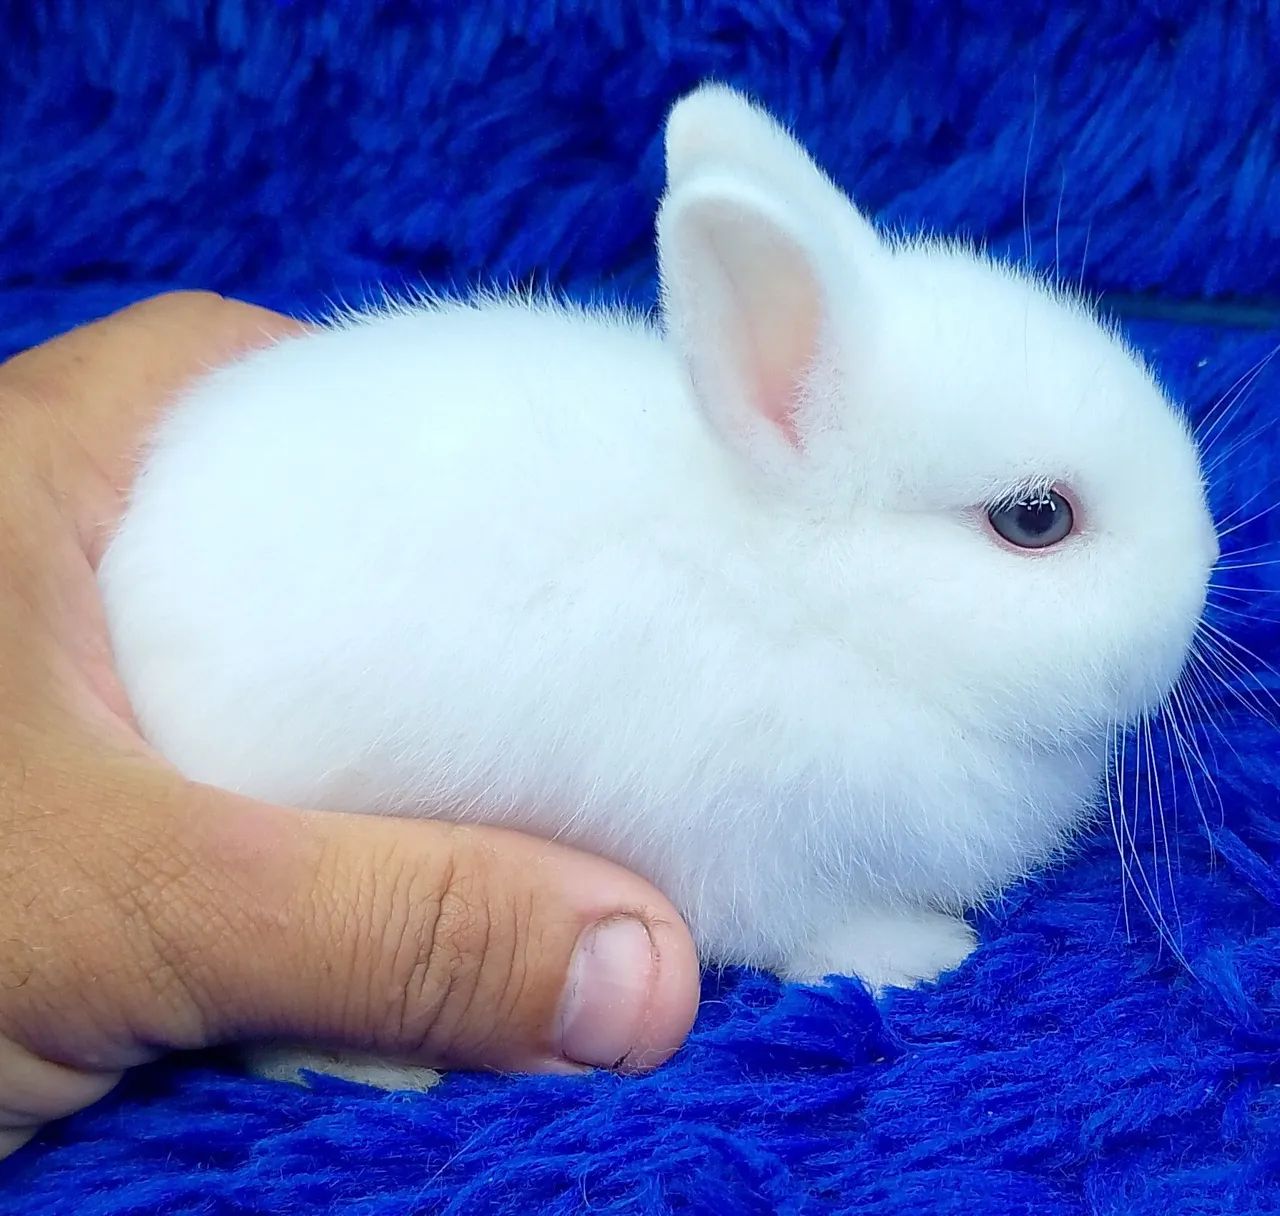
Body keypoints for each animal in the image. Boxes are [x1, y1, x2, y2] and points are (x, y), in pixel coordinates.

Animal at [97, 83, 1218, 1085]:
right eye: (1034, 519)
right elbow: (802, 931)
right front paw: (920, 955)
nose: (1204, 572)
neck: (809, 600)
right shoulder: (752, 850)